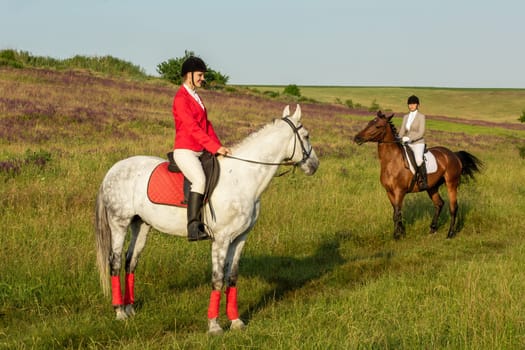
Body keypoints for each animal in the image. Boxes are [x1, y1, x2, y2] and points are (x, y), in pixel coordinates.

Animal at [94, 105, 318, 334]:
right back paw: (119, 312)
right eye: (306, 135)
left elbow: (232, 278)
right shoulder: (221, 239)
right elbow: (218, 280)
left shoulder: (240, 239)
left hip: (141, 225)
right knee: (115, 262)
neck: (242, 177)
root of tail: (113, 170)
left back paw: (130, 309)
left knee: (131, 261)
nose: (314, 165)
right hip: (119, 224)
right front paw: (214, 325)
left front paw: (236, 321)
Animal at [352, 110, 484, 239]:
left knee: (453, 207)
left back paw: (450, 233)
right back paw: (432, 229)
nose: (357, 138)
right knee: (439, 204)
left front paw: (396, 236)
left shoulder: (399, 191)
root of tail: (453, 154)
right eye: (369, 123)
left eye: (377, 126)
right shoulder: (389, 192)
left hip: (451, 183)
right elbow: (397, 212)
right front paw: (402, 233)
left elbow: (396, 213)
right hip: (432, 187)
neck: (392, 161)